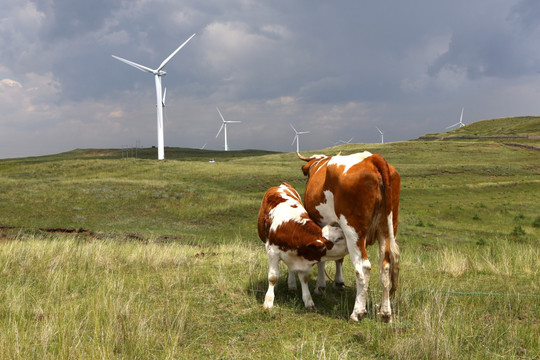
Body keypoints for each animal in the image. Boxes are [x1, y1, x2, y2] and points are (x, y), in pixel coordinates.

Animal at [298, 150, 398, 322]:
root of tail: (371, 158)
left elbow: (322, 259)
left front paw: (320, 286)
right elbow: (339, 258)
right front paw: (339, 282)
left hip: (354, 232)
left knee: (363, 267)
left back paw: (357, 312)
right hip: (386, 229)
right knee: (385, 267)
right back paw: (385, 313)